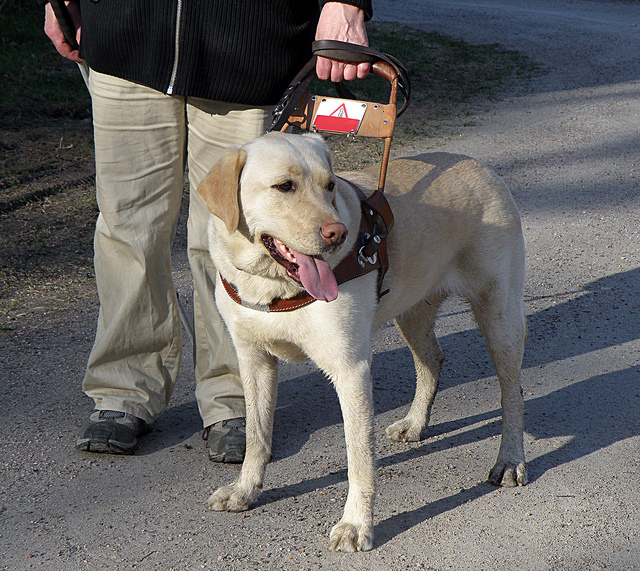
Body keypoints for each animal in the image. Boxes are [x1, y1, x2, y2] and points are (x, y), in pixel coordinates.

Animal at [199, 132, 524, 552]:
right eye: (284, 186)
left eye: (330, 185)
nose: (336, 234)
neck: (272, 284)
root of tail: (481, 167)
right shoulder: (253, 359)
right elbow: (257, 435)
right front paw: (244, 489)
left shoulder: (349, 367)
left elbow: (359, 458)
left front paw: (356, 523)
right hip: (412, 311)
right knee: (432, 359)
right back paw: (415, 423)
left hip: (499, 316)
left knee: (511, 392)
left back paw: (510, 460)